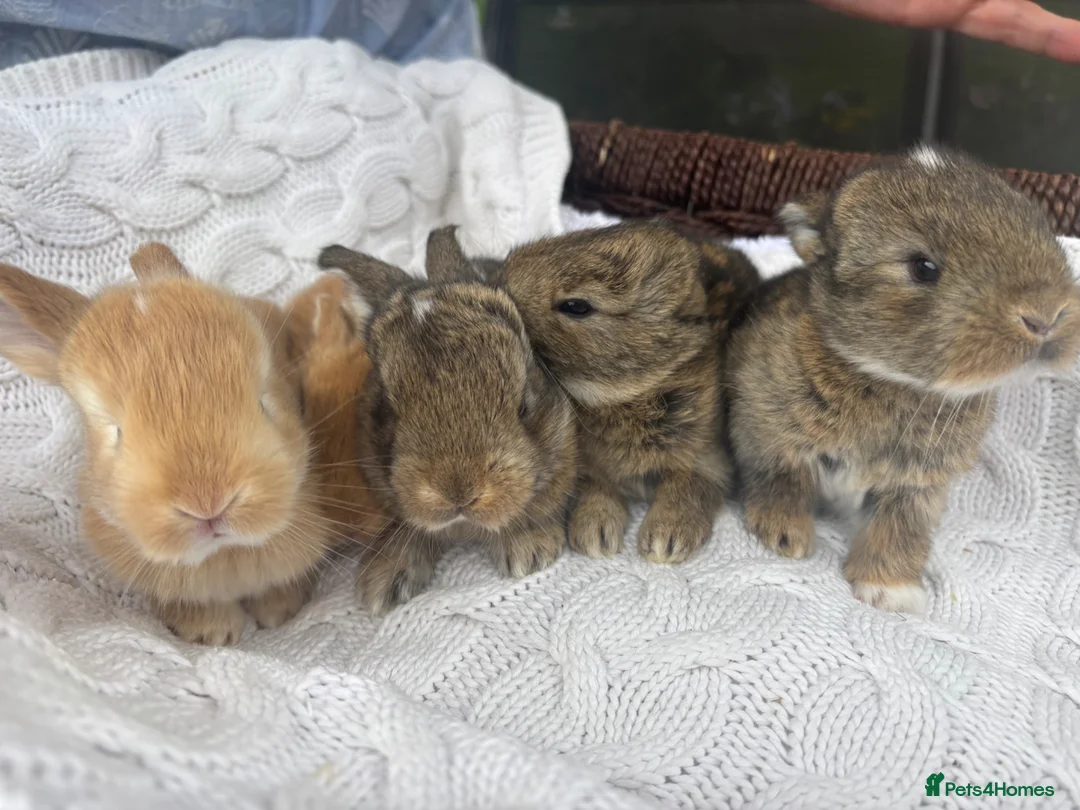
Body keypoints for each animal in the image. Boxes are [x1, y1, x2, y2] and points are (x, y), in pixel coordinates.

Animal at [0, 243, 334, 644]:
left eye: (265, 400)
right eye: (115, 432)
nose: (208, 505)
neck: (224, 553)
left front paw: (279, 613)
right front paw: (213, 634)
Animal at [492, 221, 760, 564]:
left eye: (576, 306)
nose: (501, 282)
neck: (630, 391)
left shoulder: (707, 457)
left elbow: (689, 485)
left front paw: (665, 541)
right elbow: (596, 486)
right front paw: (595, 534)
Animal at [727, 145, 1080, 614]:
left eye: (1042, 232)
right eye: (923, 268)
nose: (1047, 316)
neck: (888, 377)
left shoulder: (917, 485)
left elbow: (899, 529)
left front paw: (889, 593)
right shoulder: (768, 431)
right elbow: (782, 479)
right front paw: (786, 538)